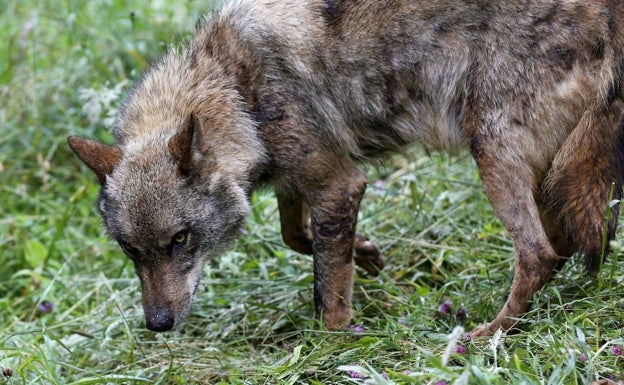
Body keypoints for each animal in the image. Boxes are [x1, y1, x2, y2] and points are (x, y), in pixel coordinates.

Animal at [67, 0, 624, 332]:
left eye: (180, 240)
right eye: (130, 250)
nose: (158, 324)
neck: (235, 87)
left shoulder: (338, 185)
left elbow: (326, 288)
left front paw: (333, 343)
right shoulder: (297, 179)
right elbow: (298, 237)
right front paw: (369, 255)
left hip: (492, 155)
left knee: (539, 254)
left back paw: (487, 335)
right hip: (552, 176)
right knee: (572, 242)